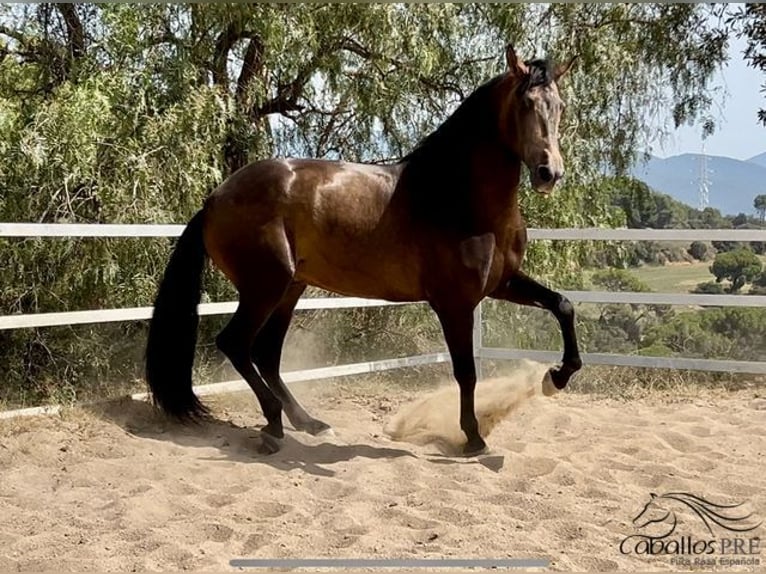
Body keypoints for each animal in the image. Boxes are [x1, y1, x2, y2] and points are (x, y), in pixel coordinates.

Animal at [147, 45, 584, 456]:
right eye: (525, 103)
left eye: (560, 106)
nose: (549, 173)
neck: (457, 197)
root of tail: (215, 197)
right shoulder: (454, 303)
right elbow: (466, 372)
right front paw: (474, 438)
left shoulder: (502, 284)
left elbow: (562, 305)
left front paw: (557, 376)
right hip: (264, 287)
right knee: (236, 344)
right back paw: (273, 426)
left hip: (289, 288)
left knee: (267, 354)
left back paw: (309, 423)